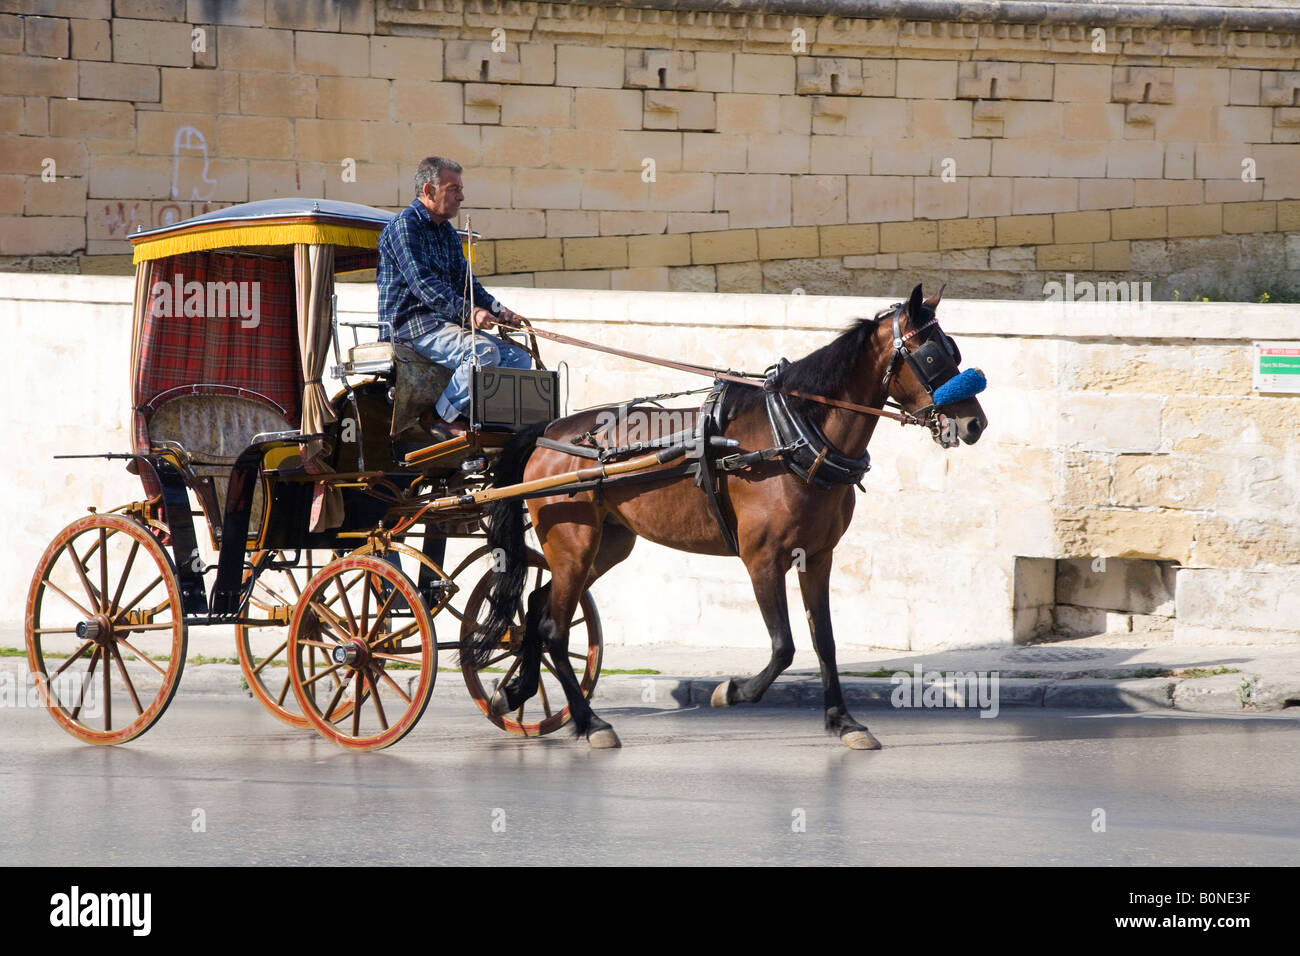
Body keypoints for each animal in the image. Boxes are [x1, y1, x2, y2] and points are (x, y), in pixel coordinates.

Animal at [464, 283, 988, 749]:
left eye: (954, 350)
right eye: (932, 357)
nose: (974, 423)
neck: (793, 434)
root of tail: (547, 431)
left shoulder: (817, 557)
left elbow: (825, 641)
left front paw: (843, 721)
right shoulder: (762, 559)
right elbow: (784, 646)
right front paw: (733, 691)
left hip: (606, 545)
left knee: (538, 609)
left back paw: (517, 691)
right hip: (573, 543)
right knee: (554, 627)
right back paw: (590, 722)